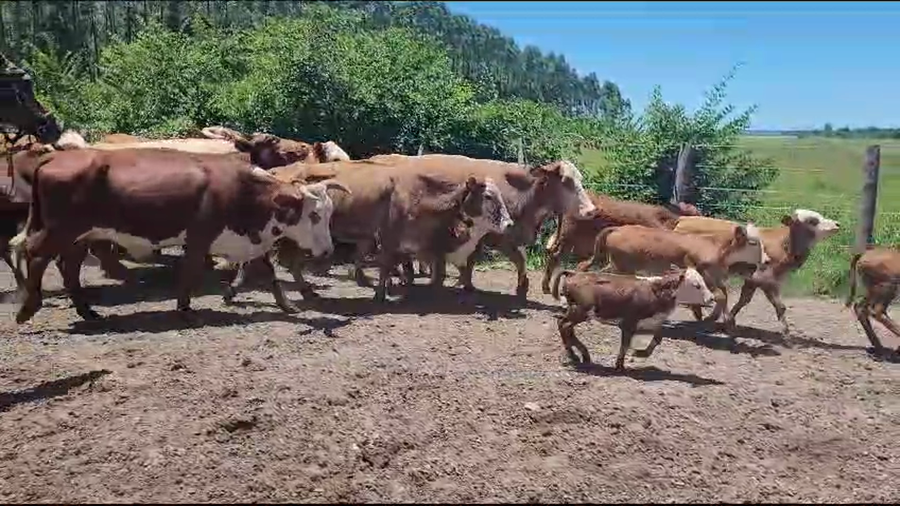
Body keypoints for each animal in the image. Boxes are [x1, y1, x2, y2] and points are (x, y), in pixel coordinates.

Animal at [14, 148, 349, 324]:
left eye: (330, 213)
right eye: (314, 215)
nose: (328, 251)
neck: (243, 192)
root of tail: (54, 158)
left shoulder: (251, 242)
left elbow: (270, 274)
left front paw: (287, 306)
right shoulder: (200, 237)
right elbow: (189, 271)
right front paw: (185, 308)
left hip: (80, 236)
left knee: (68, 266)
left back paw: (87, 311)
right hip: (60, 229)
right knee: (35, 254)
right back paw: (28, 307)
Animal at [550, 265, 715, 369]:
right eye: (696, 285)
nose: (711, 298)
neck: (656, 291)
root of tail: (573, 274)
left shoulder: (650, 322)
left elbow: (658, 338)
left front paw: (640, 353)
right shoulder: (628, 322)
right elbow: (625, 344)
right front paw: (620, 365)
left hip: (576, 311)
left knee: (564, 325)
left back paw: (580, 355)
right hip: (581, 311)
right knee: (564, 325)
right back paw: (576, 355)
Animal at [576, 223, 763, 325]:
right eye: (753, 243)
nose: (764, 260)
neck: (718, 249)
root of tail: (618, 229)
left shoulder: (713, 277)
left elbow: (722, 294)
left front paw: (712, 316)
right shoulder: (706, 274)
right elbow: (721, 295)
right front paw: (721, 320)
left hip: (618, 264)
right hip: (621, 265)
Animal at [672, 209, 840, 335]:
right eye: (812, 221)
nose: (837, 224)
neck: (783, 244)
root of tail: (681, 220)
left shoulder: (753, 280)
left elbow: (743, 300)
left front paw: (727, 319)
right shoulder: (764, 279)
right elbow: (779, 306)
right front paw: (786, 333)